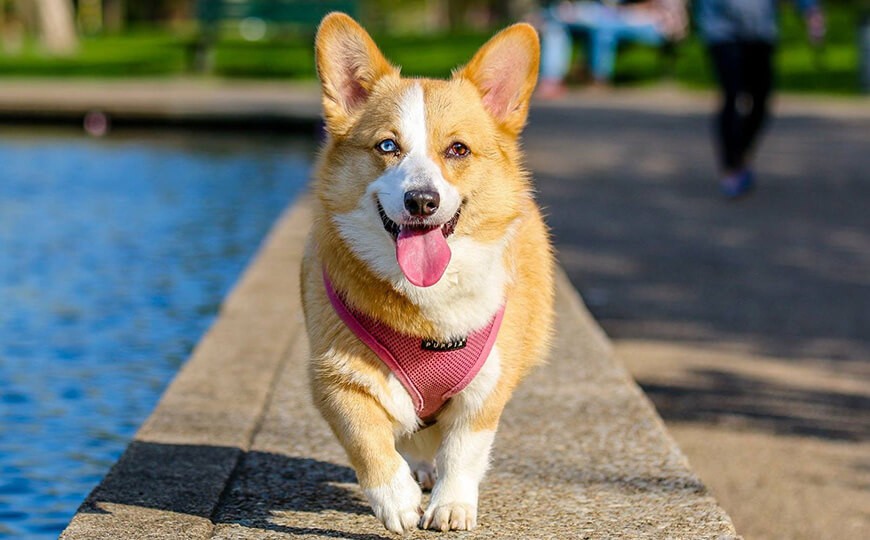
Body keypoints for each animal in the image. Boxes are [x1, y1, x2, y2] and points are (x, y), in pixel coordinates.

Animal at [304, 13, 556, 536]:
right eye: (387, 146)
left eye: (457, 149)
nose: (422, 201)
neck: (427, 303)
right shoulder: (334, 378)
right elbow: (367, 440)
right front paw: (396, 500)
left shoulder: (486, 387)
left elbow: (464, 449)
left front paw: (452, 506)